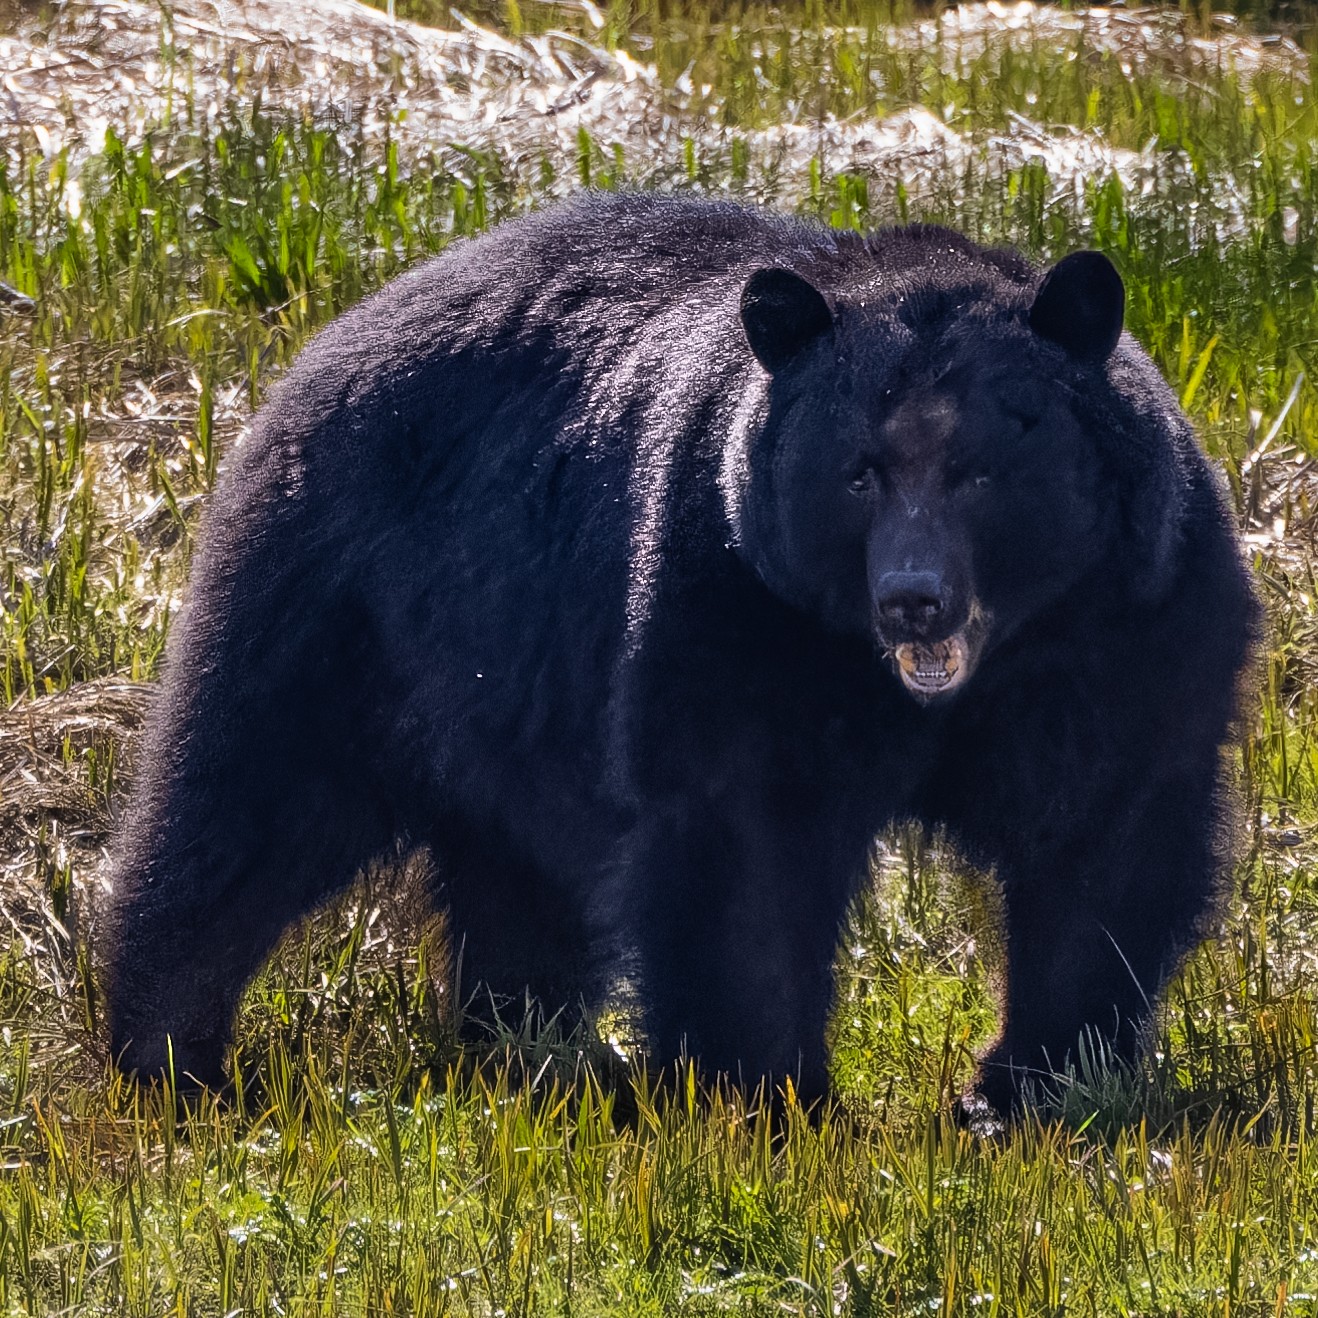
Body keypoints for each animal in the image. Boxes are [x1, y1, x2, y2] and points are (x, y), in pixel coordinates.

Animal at [102, 192, 1254, 1112]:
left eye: (978, 469)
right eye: (858, 472)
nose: (913, 601)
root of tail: (334, 331)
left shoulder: (1128, 623)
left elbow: (1106, 836)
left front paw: (1034, 1083)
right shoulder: (736, 599)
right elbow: (745, 840)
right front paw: (765, 1090)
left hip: (509, 684)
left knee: (514, 876)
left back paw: (527, 1045)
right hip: (347, 603)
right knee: (243, 802)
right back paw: (168, 1053)